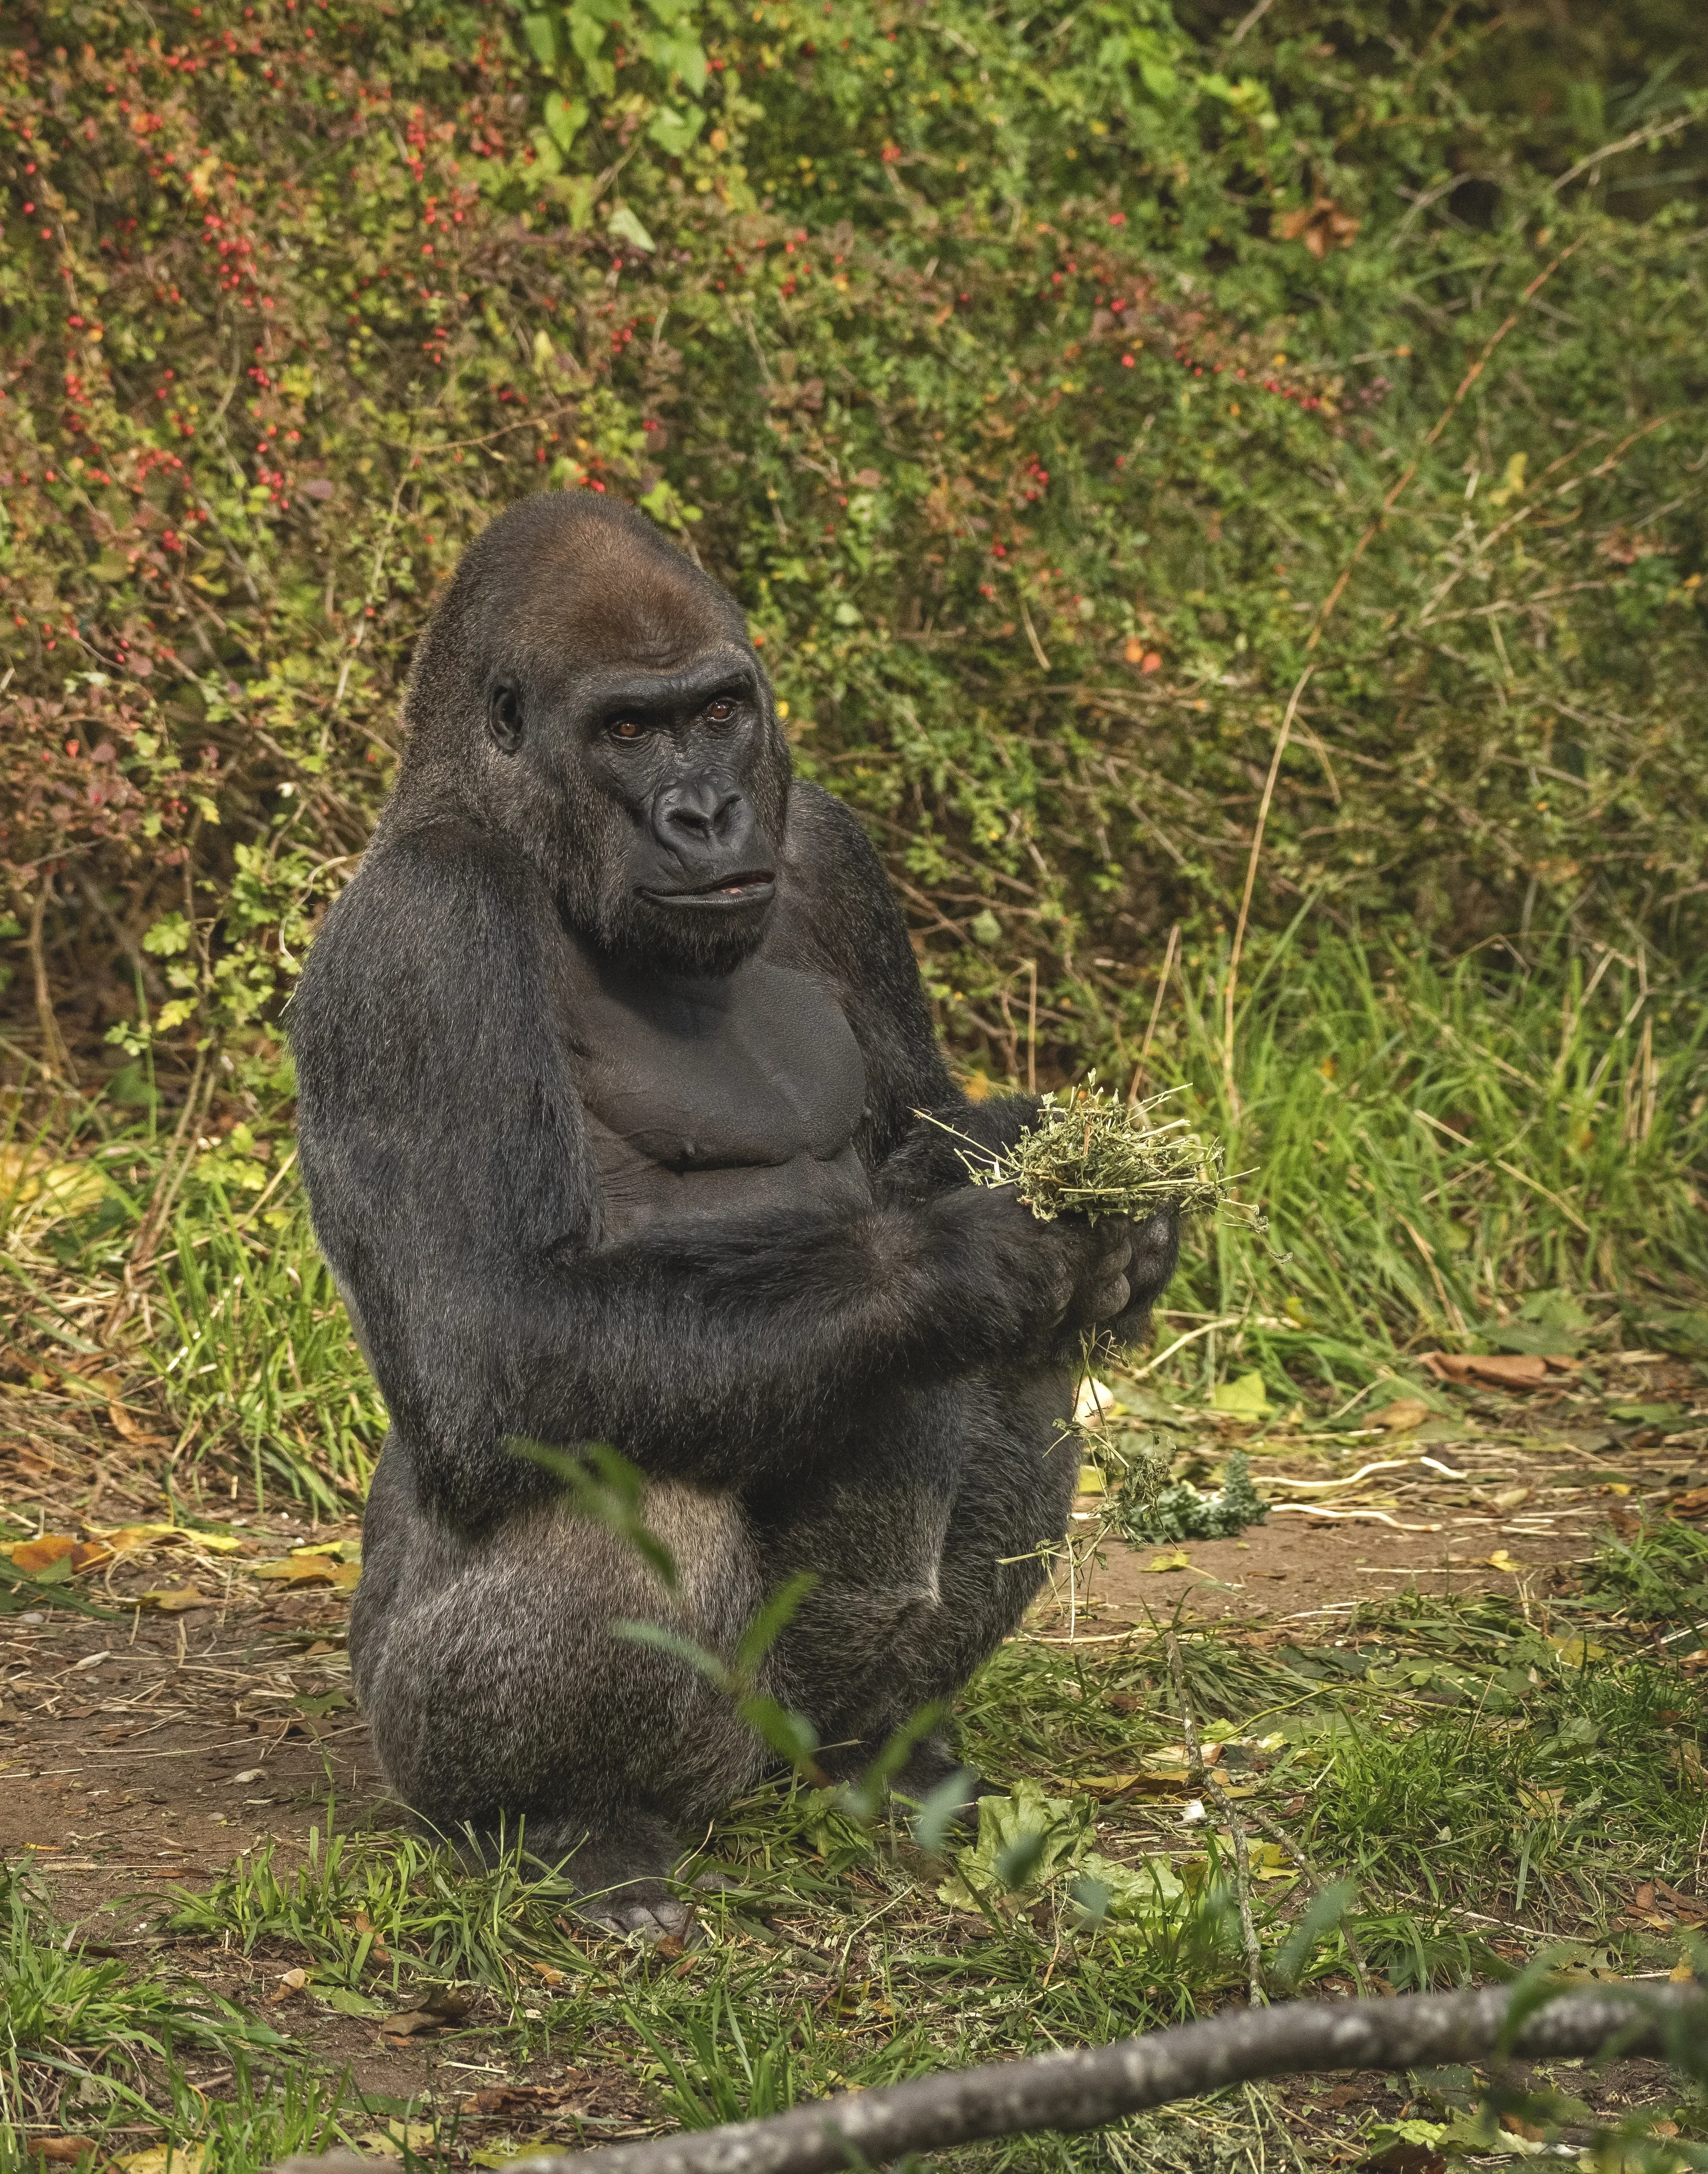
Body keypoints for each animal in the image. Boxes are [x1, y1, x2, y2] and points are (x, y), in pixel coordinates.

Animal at [288, 492, 1180, 1934]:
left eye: (715, 712)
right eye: (625, 730)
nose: (703, 813)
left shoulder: (825, 845)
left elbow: (916, 1127)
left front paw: (1093, 1198)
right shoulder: (425, 942)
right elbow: (493, 1329)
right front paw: (966, 1257)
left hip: (790, 1727)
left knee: (1019, 1377)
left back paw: (885, 1753)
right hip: (431, 1728)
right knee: (605, 1451)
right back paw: (574, 1821)